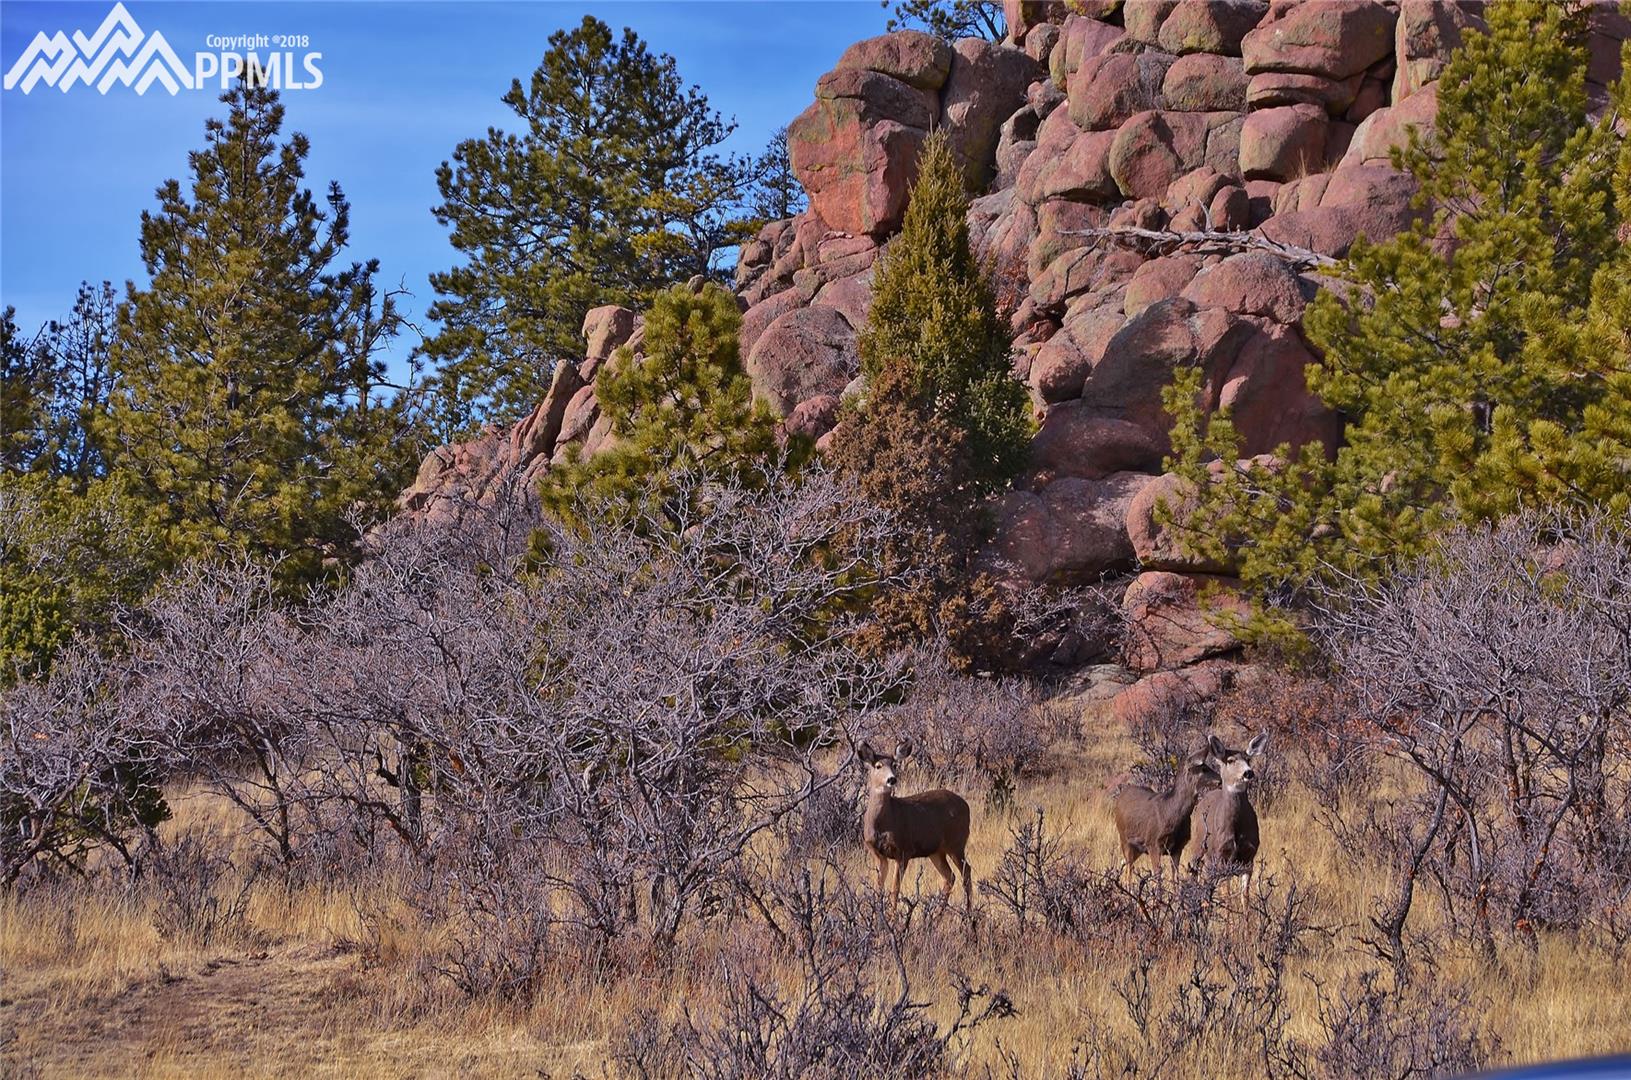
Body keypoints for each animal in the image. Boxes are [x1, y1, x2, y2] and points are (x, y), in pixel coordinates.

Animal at [858, 739, 974, 910]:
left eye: (894, 764)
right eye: (878, 766)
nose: (892, 779)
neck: (883, 824)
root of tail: (966, 805)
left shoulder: (904, 850)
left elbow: (895, 889)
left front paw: (892, 916)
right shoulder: (877, 853)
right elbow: (879, 886)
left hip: (956, 843)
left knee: (966, 872)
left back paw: (968, 911)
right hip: (936, 851)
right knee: (950, 876)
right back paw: (938, 913)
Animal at [1110, 744, 1221, 886]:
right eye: (1204, 768)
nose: (1220, 780)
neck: (1170, 813)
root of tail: (1120, 795)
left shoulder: (1178, 847)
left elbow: (1175, 877)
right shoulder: (1153, 844)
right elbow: (1158, 877)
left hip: (1137, 848)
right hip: (1124, 839)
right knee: (1128, 871)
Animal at [1190, 732, 1268, 908]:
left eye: (1249, 759)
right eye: (1231, 760)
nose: (1248, 773)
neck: (1236, 830)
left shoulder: (1248, 858)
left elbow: (1244, 896)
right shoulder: (1222, 856)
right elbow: (1227, 894)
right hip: (1199, 846)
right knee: (1195, 873)